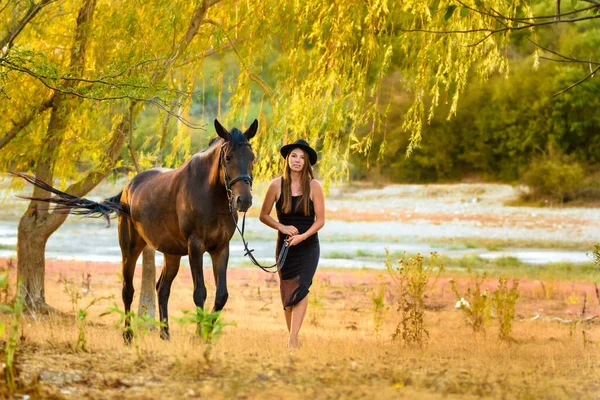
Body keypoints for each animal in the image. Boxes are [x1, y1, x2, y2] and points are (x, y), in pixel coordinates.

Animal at [14, 119, 256, 340]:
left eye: (252, 158)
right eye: (228, 157)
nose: (243, 200)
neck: (209, 195)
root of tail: (127, 189)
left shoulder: (220, 248)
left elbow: (221, 295)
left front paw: (206, 336)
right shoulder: (195, 246)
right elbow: (200, 292)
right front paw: (198, 337)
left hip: (172, 253)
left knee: (162, 288)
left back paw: (165, 334)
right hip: (130, 248)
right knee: (128, 290)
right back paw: (128, 335)